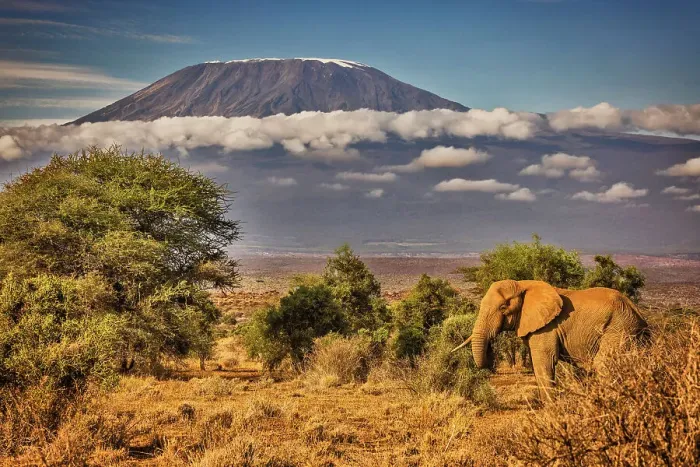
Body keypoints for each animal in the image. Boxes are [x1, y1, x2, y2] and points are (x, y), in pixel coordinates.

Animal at [452, 280, 649, 398]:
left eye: (503, 307)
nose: (490, 350)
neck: (522, 284)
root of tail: (638, 312)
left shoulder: (547, 328)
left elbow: (544, 362)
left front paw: (549, 410)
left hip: (620, 328)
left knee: (603, 365)